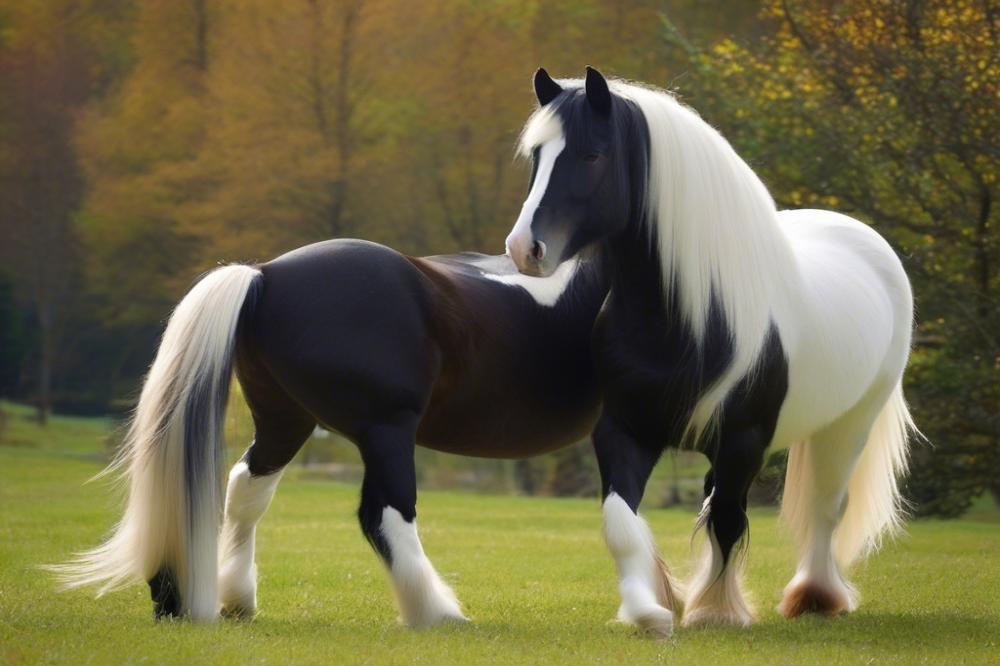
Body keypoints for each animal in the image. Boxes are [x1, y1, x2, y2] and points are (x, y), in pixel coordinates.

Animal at [52, 241, 608, 624]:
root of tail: (267, 273)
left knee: (245, 489)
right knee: (384, 515)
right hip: (386, 430)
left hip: (286, 421)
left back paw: (234, 598)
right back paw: (436, 613)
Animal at [508, 66, 916, 632]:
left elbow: (726, 518)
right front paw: (647, 609)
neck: (688, 317)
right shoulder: (624, 430)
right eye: (536, 156)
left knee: (825, 506)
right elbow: (622, 522)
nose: (525, 249)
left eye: (591, 155)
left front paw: (715, 611)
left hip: (850, 423)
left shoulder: (743, 441)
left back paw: (815, 595)